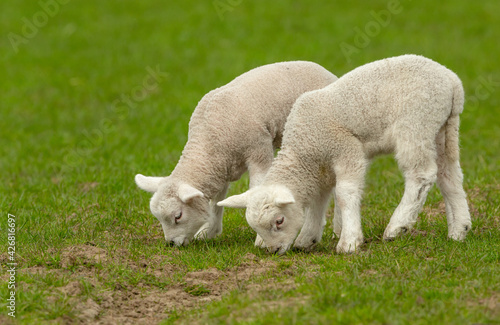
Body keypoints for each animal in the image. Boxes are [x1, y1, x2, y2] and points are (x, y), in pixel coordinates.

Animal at [135, 60, 338, 246]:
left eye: (178, 216)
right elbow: (217, 200)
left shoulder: (259, 152)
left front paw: (260, 237)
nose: (170, 243)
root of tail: (324, 70)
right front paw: (209, 231)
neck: (209, 138)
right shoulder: (221, 166)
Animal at [220, 54, 472, 254]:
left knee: (422, 174)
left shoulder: (346, 149)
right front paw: (307, 239)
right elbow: (318, 200)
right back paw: (459, 230)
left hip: (416, 123)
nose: (272, 251)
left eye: (279, 221)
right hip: (443, 129)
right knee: (449, 176)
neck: (305, 150)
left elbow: (344, 193)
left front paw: (349, 242)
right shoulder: (321, 170)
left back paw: (397, 226)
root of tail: (452, 81)